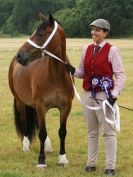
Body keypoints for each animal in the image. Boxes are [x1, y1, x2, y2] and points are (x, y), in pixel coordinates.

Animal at [8, 13, 74, 168]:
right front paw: (41, 160)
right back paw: (26, 146)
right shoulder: (40, 105)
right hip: (21, 102)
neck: (56, 75)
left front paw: (62, 158)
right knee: (25, 121)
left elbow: (62, 132)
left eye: (40, 34)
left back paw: (48, 146)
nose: (20, 56)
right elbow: (42, 133)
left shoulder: (65, 107)